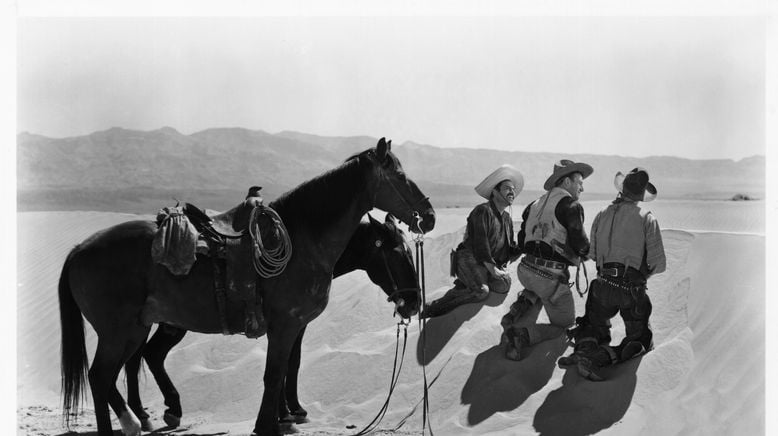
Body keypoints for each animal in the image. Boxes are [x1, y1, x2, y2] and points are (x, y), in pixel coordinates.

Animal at [125, 214, 422, 430]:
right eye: (397, 254)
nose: (414, 303)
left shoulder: (294, 326)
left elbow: (291, 362)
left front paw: (289, 411)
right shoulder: (285, 325)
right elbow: (283, 366)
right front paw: (287, 414)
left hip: (164, 323)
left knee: (145, 356)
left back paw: (152, 412)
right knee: (142, 356)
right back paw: (152, 413)